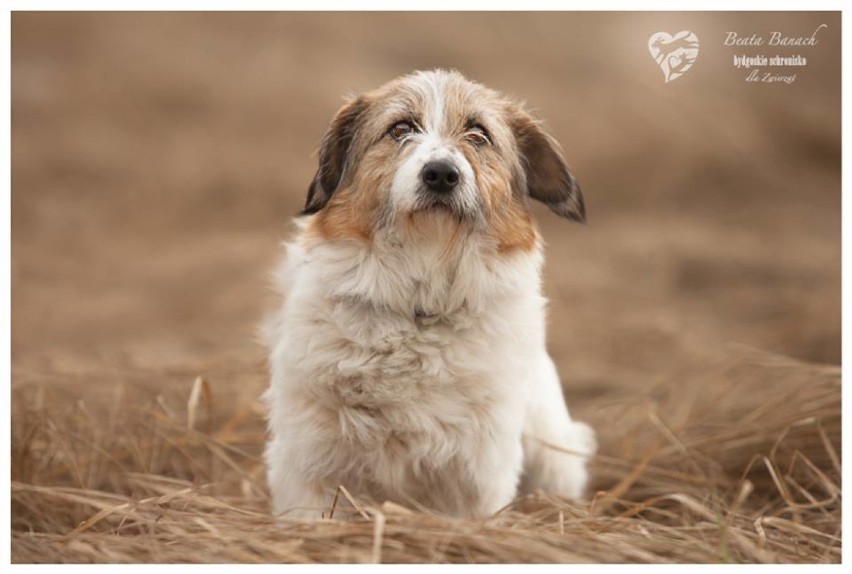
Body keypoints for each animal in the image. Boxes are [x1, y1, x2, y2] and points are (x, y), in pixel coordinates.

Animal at [262, 70, 596, 520]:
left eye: (478, 134)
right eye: (400, 128)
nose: (441, 173)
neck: (419, 308)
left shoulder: (477, 475)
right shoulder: (309, 464)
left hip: (553, 456)